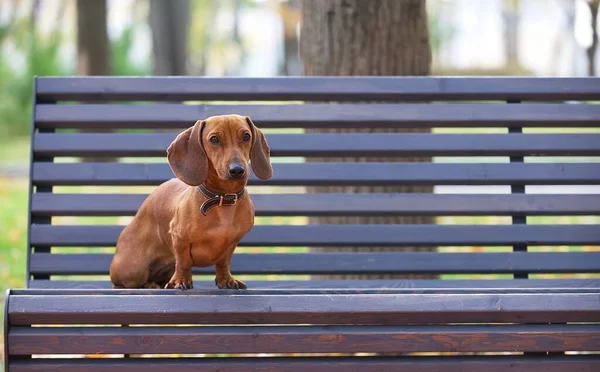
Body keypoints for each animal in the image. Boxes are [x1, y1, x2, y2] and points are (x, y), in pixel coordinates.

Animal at [109, 115, 274, 290]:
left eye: (246, 136)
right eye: (214, 139)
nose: (237, 170)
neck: (222, 199)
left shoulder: (231, 243)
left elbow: (224, 262)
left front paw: (226, 279)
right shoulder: (179, 238)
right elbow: (183, 262)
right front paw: (181, 280)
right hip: (133, 271)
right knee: (122, 284)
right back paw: (148, 285)